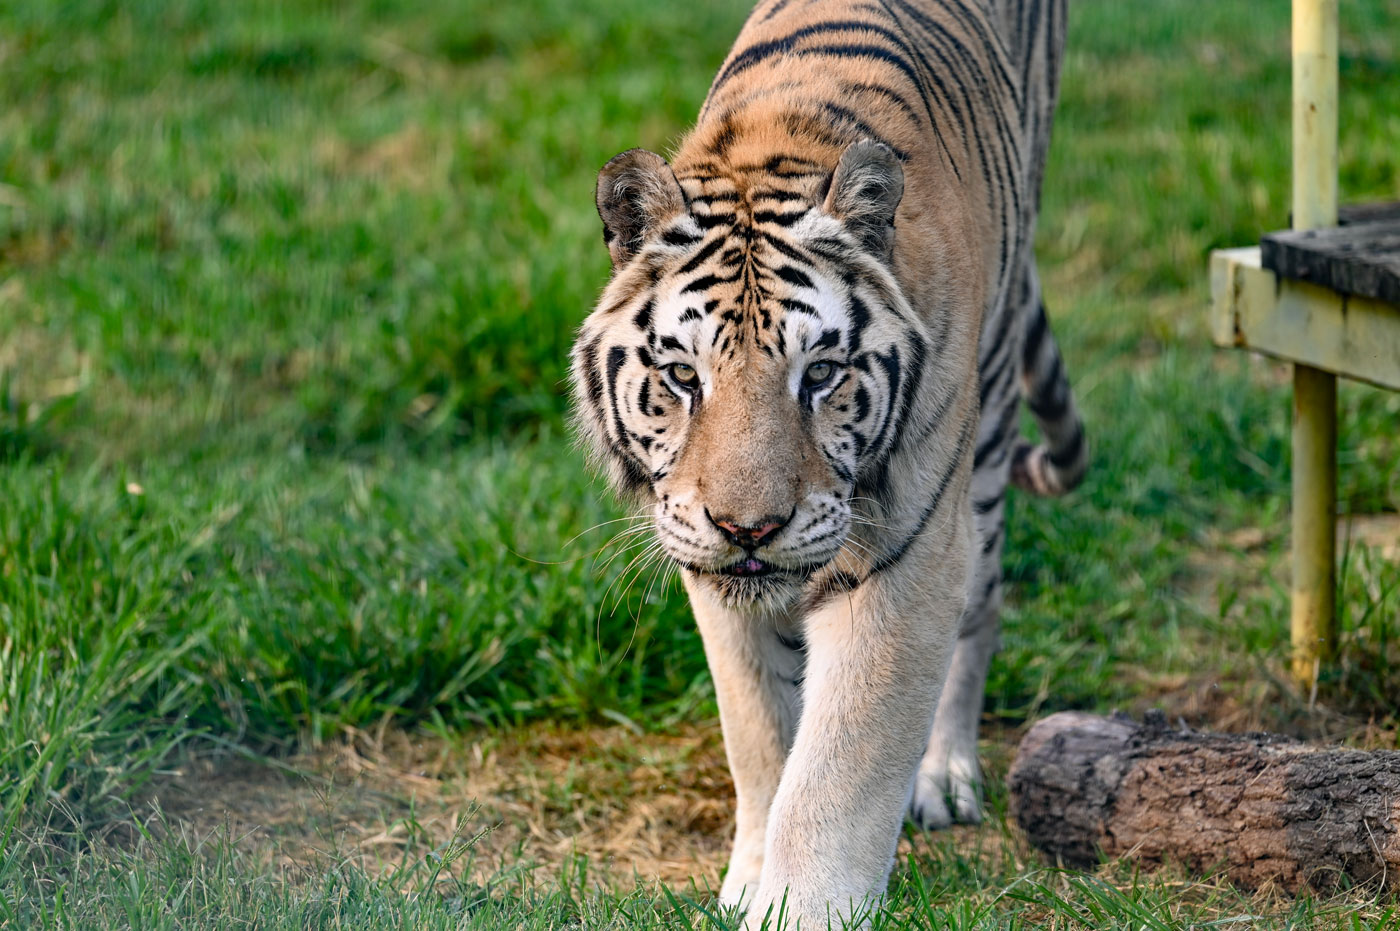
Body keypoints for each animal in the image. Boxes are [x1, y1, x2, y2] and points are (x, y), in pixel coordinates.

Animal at [568, 0, 1080, 924]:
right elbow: (760, 733)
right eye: (683, 375)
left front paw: (803, 905)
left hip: (984, 440)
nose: (748, 528)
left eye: (820, 374)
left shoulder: (908, 558)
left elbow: (838, 770)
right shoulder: (708, 569)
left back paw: (945, 773)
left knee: (981, 605)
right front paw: (749, 880)